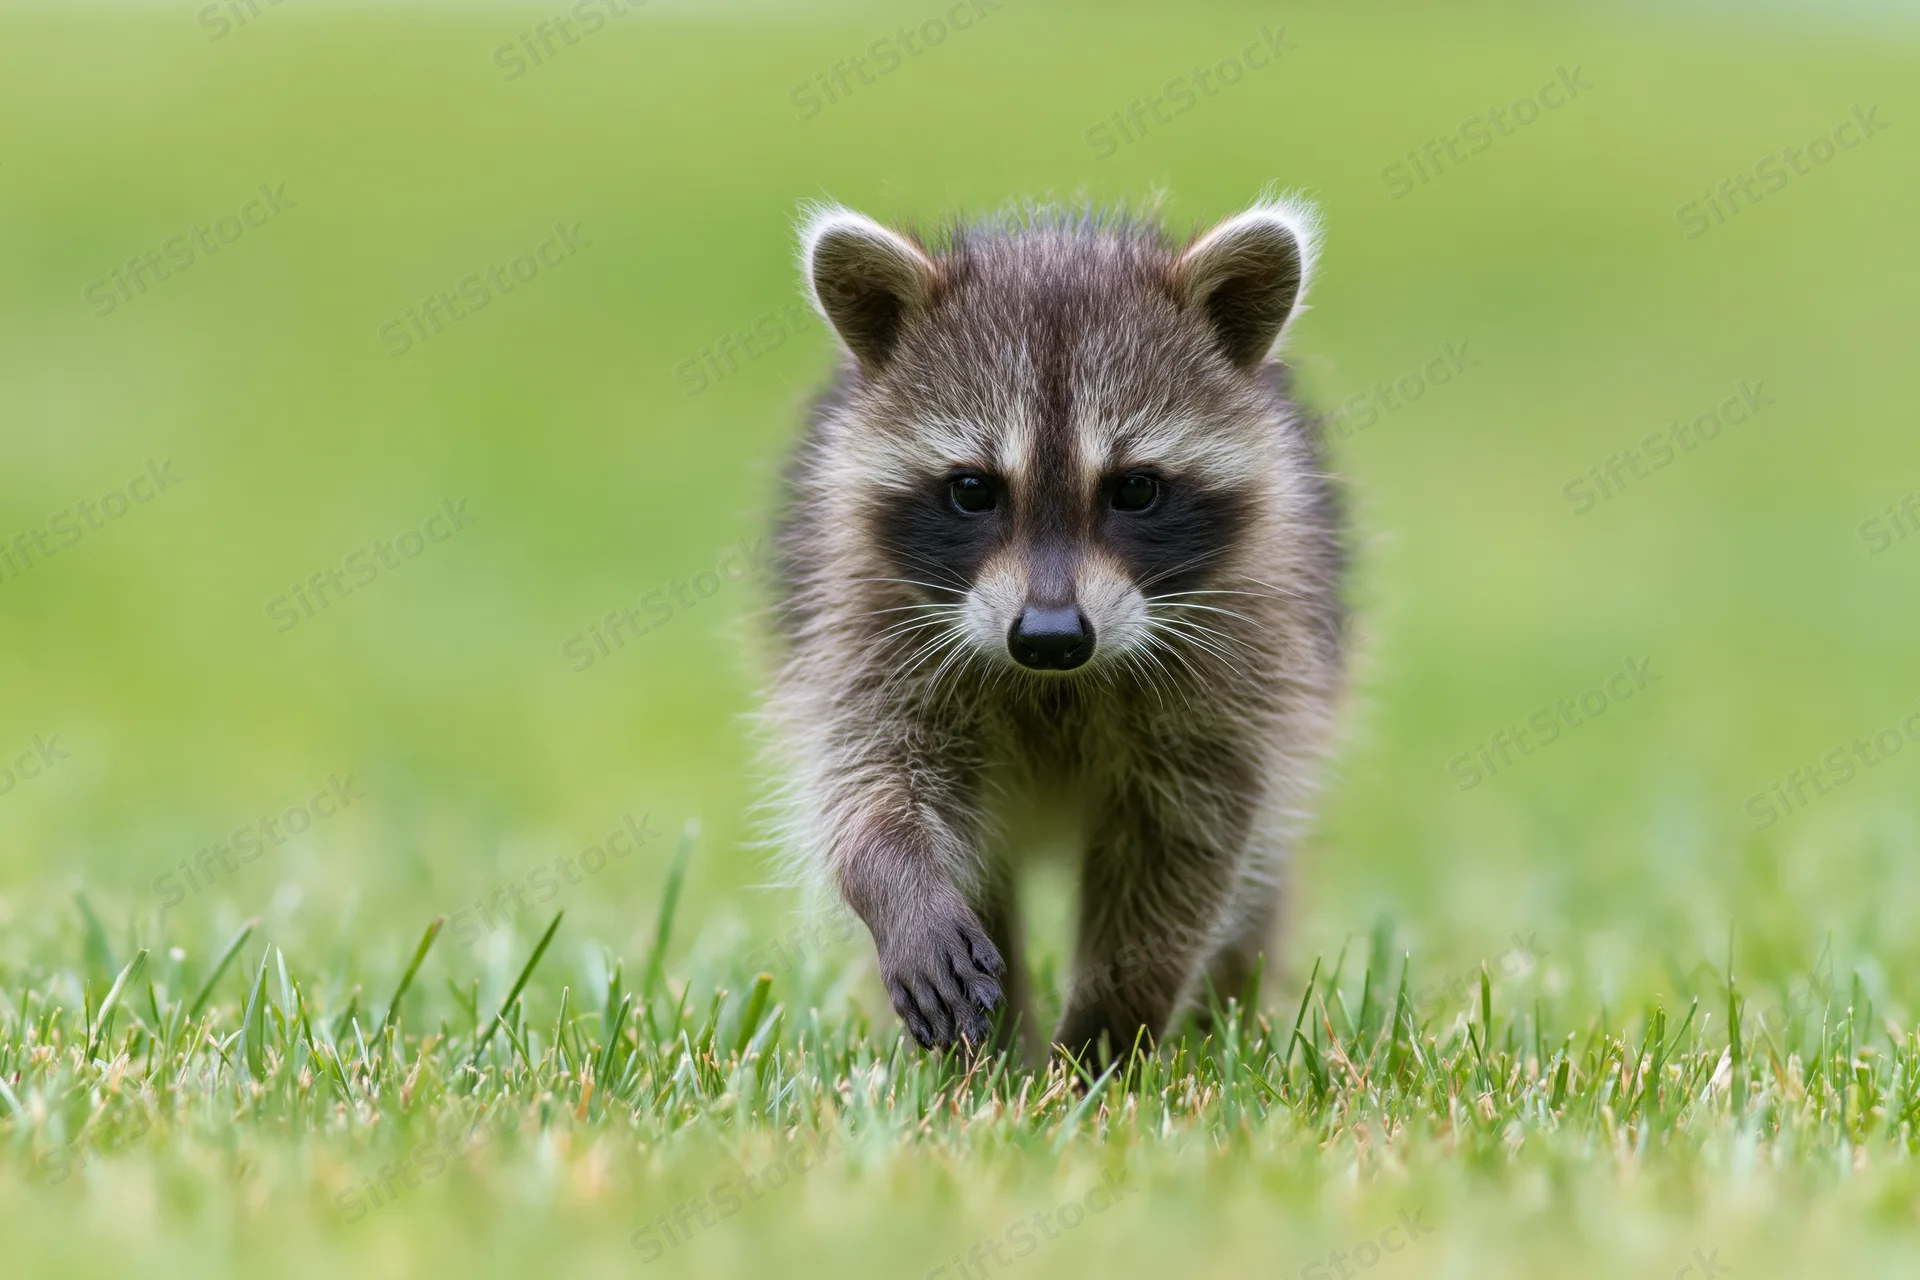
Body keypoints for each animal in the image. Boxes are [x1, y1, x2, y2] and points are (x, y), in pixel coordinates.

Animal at [764, 196, 1347, 1062]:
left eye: (1135, 489)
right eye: (973, 490)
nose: (1048, 637)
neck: (1055, 685)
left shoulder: (1246, 650)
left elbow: (1188, 855)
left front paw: (1106, 1037)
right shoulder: (864, 618)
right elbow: (868, 779)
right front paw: (896, 881)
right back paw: (990, 1060)